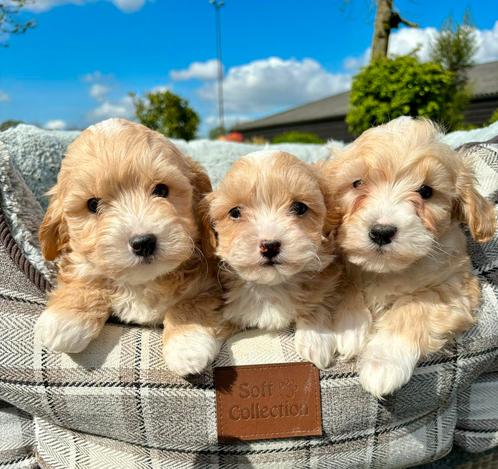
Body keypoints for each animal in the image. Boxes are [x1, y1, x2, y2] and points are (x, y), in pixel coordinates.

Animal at [32, 119, 224, 374]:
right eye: (92, 204)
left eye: (161, 190)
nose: (143, 243)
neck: (142, 283)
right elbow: (84, 279)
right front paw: (64, 320)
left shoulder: (211, 285)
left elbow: (191, 304)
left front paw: (187, 346)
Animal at [206, 151, 342, 370]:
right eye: (235, 212)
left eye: (299, 208)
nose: (269, 245)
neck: (271, 287)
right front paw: (189, 351)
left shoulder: (329, 281)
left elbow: (319, 302)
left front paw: (316, 341)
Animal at [324, 116, 496, 394]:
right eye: (357, 183)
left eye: (426, 191)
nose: (381, 232)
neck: (385, 270)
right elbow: (347, 283)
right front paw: (351, 328)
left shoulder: (455, 284)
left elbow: (415, 305)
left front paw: (382, 362)